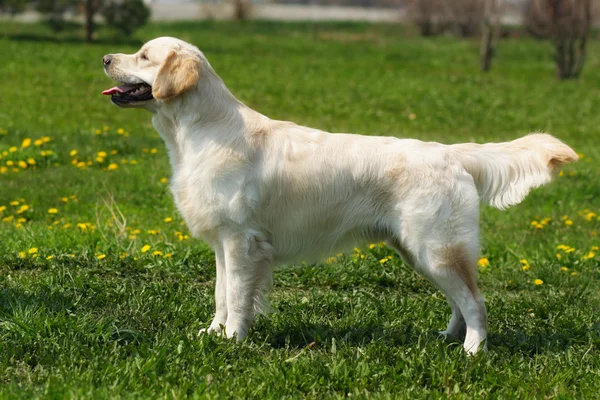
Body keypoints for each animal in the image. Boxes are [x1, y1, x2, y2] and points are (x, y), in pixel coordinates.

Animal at [102, 35, 576, 354]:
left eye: (144, 56)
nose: (105, 58)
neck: (198, 131)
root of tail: (451, 152)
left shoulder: (242, 240)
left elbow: (236, 295)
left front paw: (234, 339)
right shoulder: (223, 240)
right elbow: (221, 292)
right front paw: (214, 333)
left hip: (435, 246)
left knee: (476, 302)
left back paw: (472, 350)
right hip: (419, 250)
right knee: (461, 298)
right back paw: (447, 337)